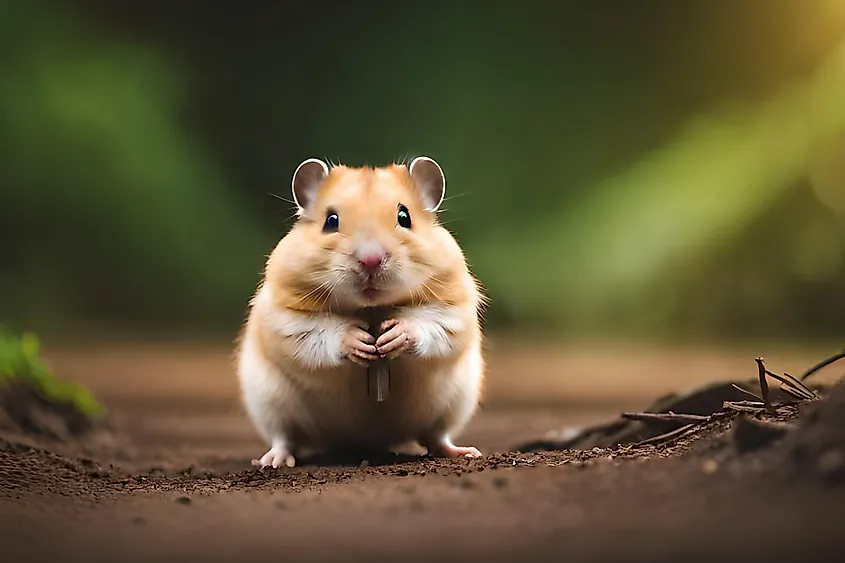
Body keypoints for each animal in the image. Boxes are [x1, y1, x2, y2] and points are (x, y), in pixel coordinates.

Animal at [236, 156, 486, 468]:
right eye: (331, 221)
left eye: (404, 217)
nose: (370, 261)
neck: (371, 310)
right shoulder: (287, 317)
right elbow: (321, 332)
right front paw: (360, 342)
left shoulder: (453, 309)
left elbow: (428, 324)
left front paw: (392, 336)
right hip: (269, 402)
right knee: (284, 437)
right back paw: (273, 461)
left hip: (456, 402)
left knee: (437, 437)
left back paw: (467, 452)